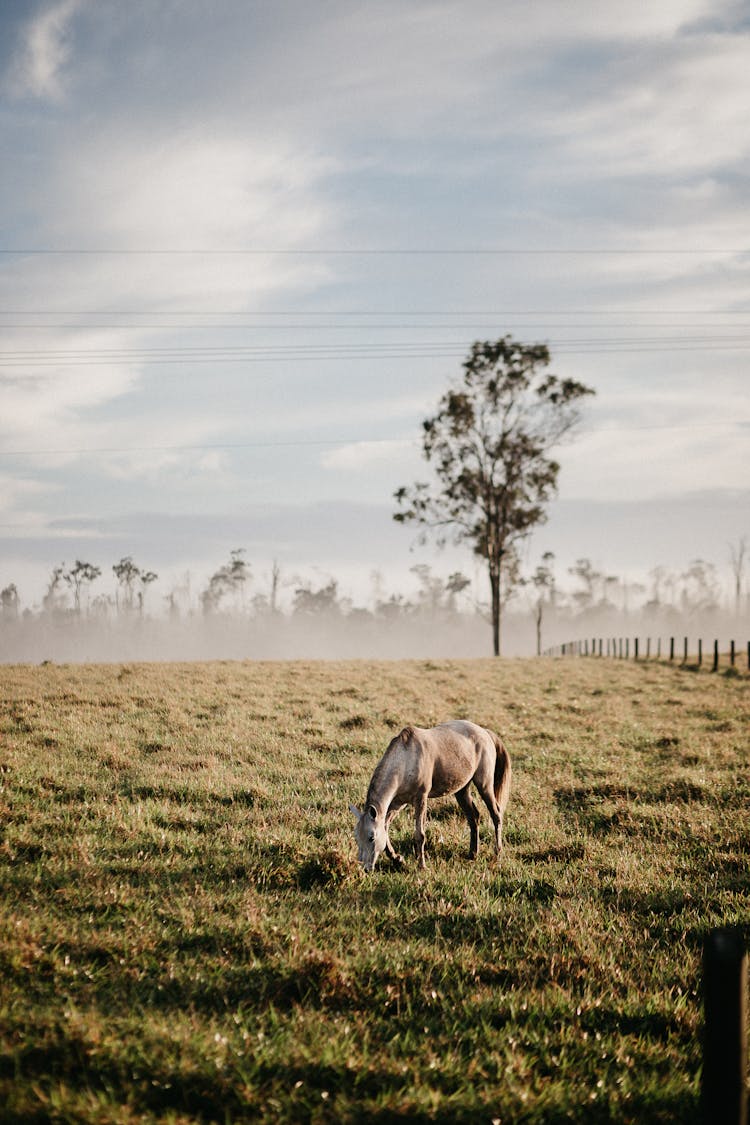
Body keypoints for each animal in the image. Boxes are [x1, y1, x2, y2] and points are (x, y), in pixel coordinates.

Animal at [350, 720, 510, 868]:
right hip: (461, 790)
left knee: (496, 814)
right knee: (473, 817)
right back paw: (472, 854)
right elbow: (386, 827)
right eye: (356, 838)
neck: (406, 758)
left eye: (371, 837)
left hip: (484, 785)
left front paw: (422, 866)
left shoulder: (421, 799)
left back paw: (498, 852)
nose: (365, 868)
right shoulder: (397, 803)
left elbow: (420, 834)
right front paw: (397, 859)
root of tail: (485, 732)